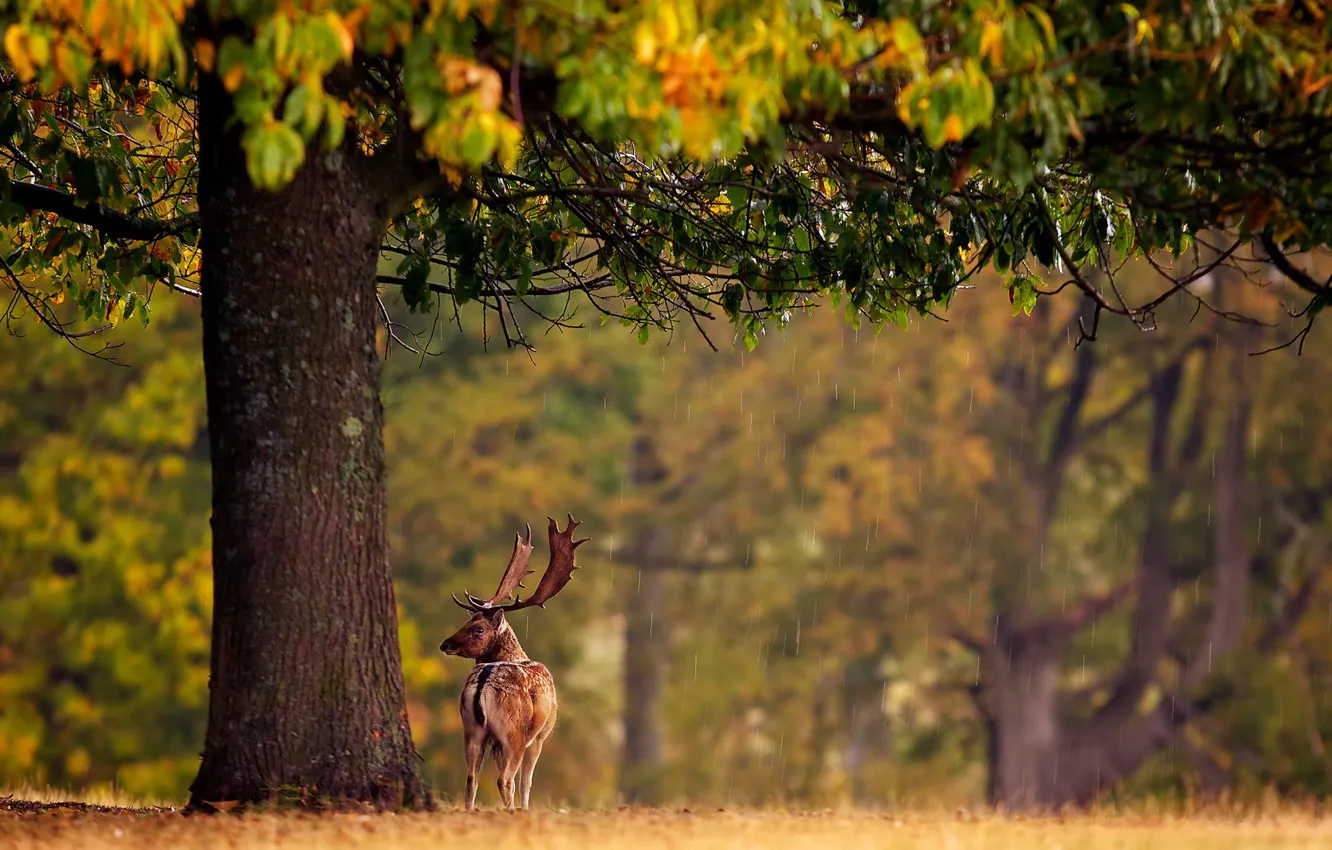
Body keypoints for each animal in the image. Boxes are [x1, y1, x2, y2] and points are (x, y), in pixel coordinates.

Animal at [436, 511, 588, 810]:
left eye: (477, 628)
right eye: (469, 623)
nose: (445, 644)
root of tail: (481, 688)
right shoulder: (540, 735)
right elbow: (527, 781)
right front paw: (526, 807)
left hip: (471, 730)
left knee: (471, 778)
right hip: (513, 733)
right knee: (505, 779)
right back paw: (511, 810)